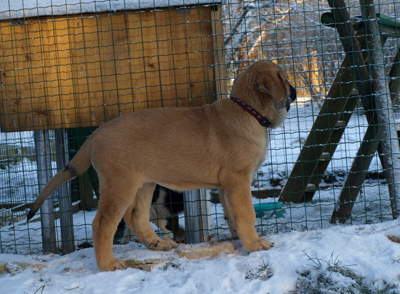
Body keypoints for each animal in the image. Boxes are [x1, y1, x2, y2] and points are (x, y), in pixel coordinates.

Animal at [28, 60, 296, 272]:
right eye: (284, 78)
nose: (294, 91)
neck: (248, 111)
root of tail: (95, 134)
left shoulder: (225, 185)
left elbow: (233, 214)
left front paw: (238, 237)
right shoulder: (238, 179)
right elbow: (247, 213)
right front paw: (254, 245)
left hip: (144, 183)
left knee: (136, 217)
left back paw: (158, 243)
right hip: (120, 184)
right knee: (103, 223)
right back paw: (108, 265)